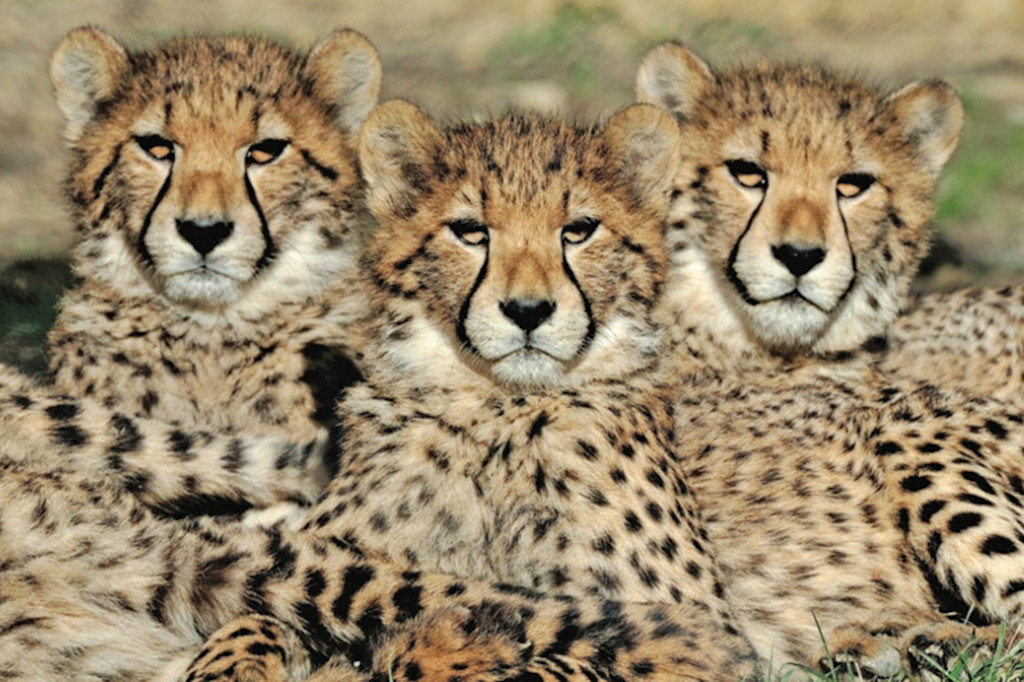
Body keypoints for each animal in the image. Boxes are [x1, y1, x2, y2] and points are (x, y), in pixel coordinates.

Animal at [0, 101, 758, 681]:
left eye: (579, 230)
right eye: (470, 231)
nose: (528, 311)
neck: (498, 411)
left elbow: (571, 652)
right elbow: (258, 621)